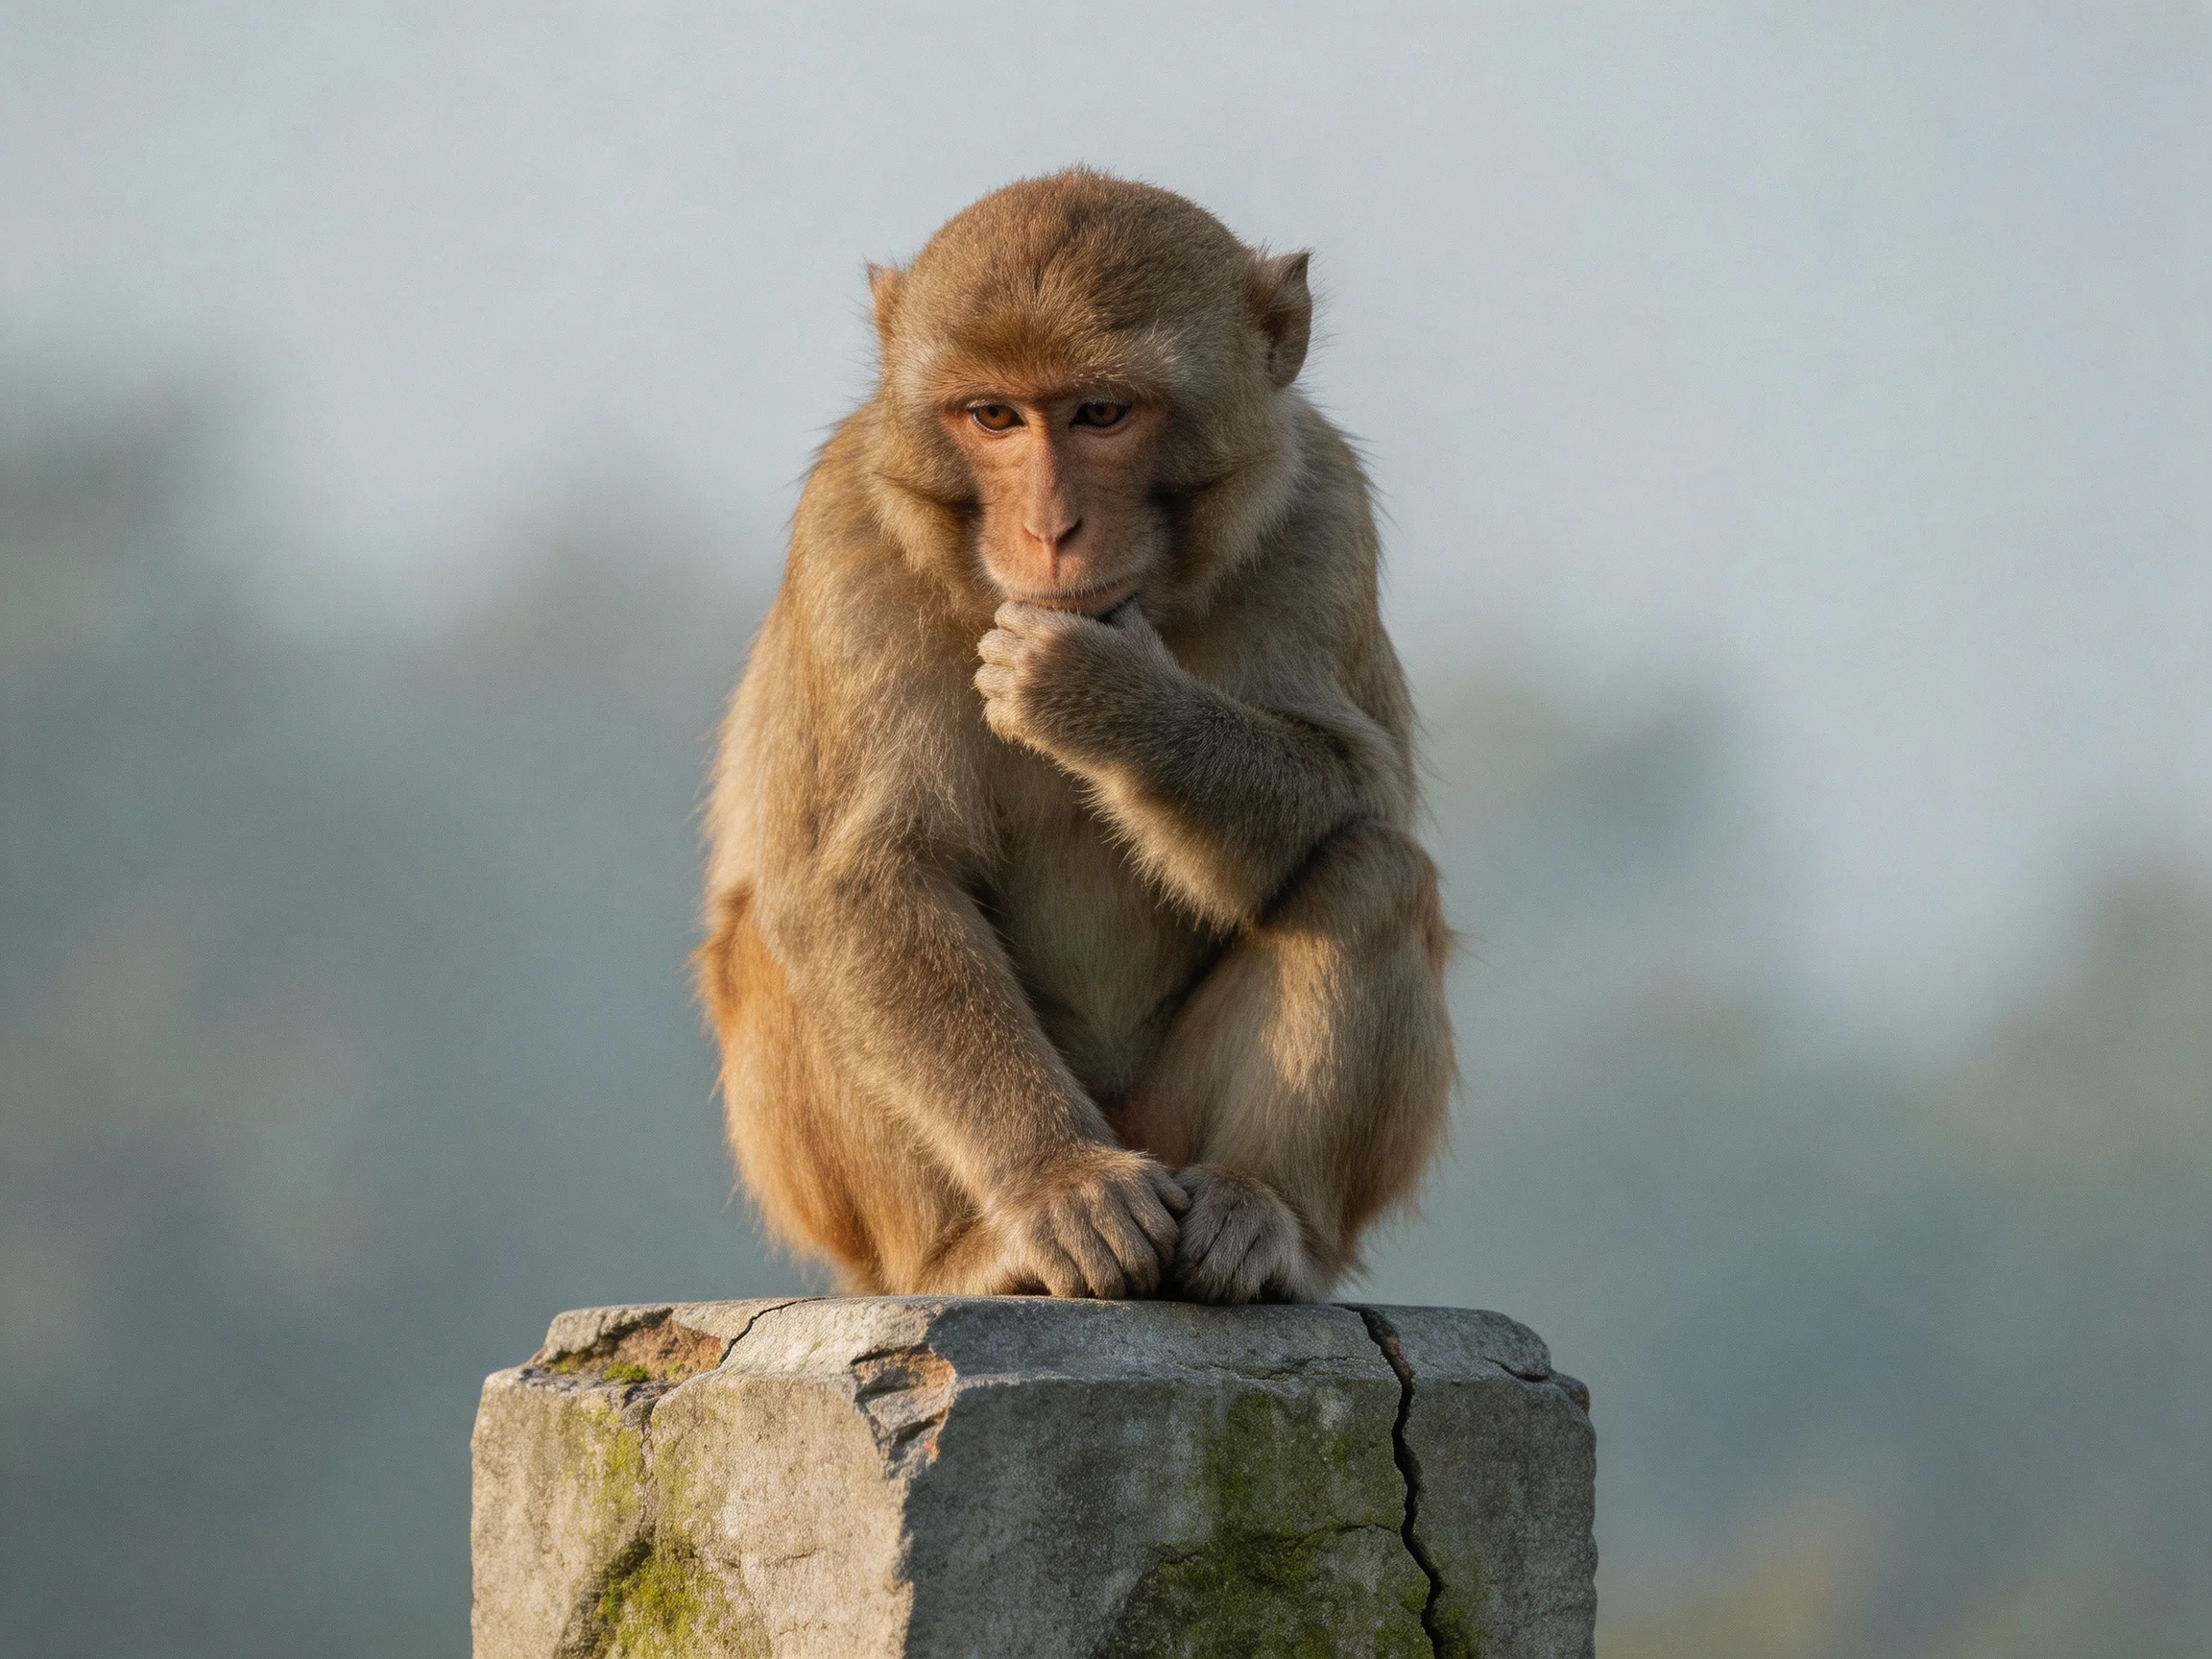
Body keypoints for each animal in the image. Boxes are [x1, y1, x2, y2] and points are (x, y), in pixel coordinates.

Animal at [697, 169, 1452, 1304]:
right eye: (994, 417)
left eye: (1101, 414)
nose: (1051, 531)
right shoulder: (849, 531)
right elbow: (862, 875)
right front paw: (1058, 1186)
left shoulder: (1321, 507)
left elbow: (1359, 781)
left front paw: (1111, 697)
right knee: (787, 931)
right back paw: (972, 1250)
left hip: (1171, 1127)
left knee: (1370, 866)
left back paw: (1264, 1216)